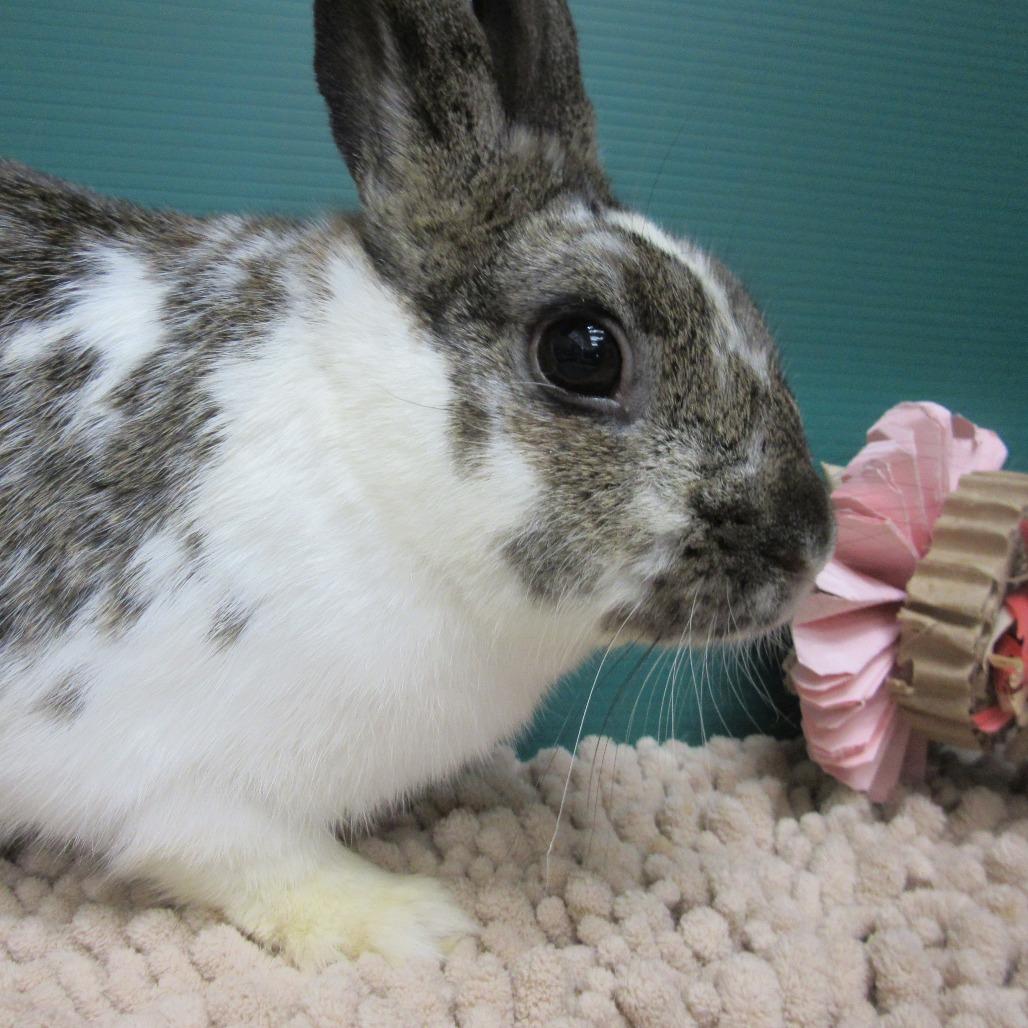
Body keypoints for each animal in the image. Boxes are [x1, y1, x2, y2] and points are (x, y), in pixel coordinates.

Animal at [0, 0, 834, 968]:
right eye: (583, 350)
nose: (811, 539)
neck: (369, 462)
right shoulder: (190, 782)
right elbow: (248, 860)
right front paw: (412, 917)